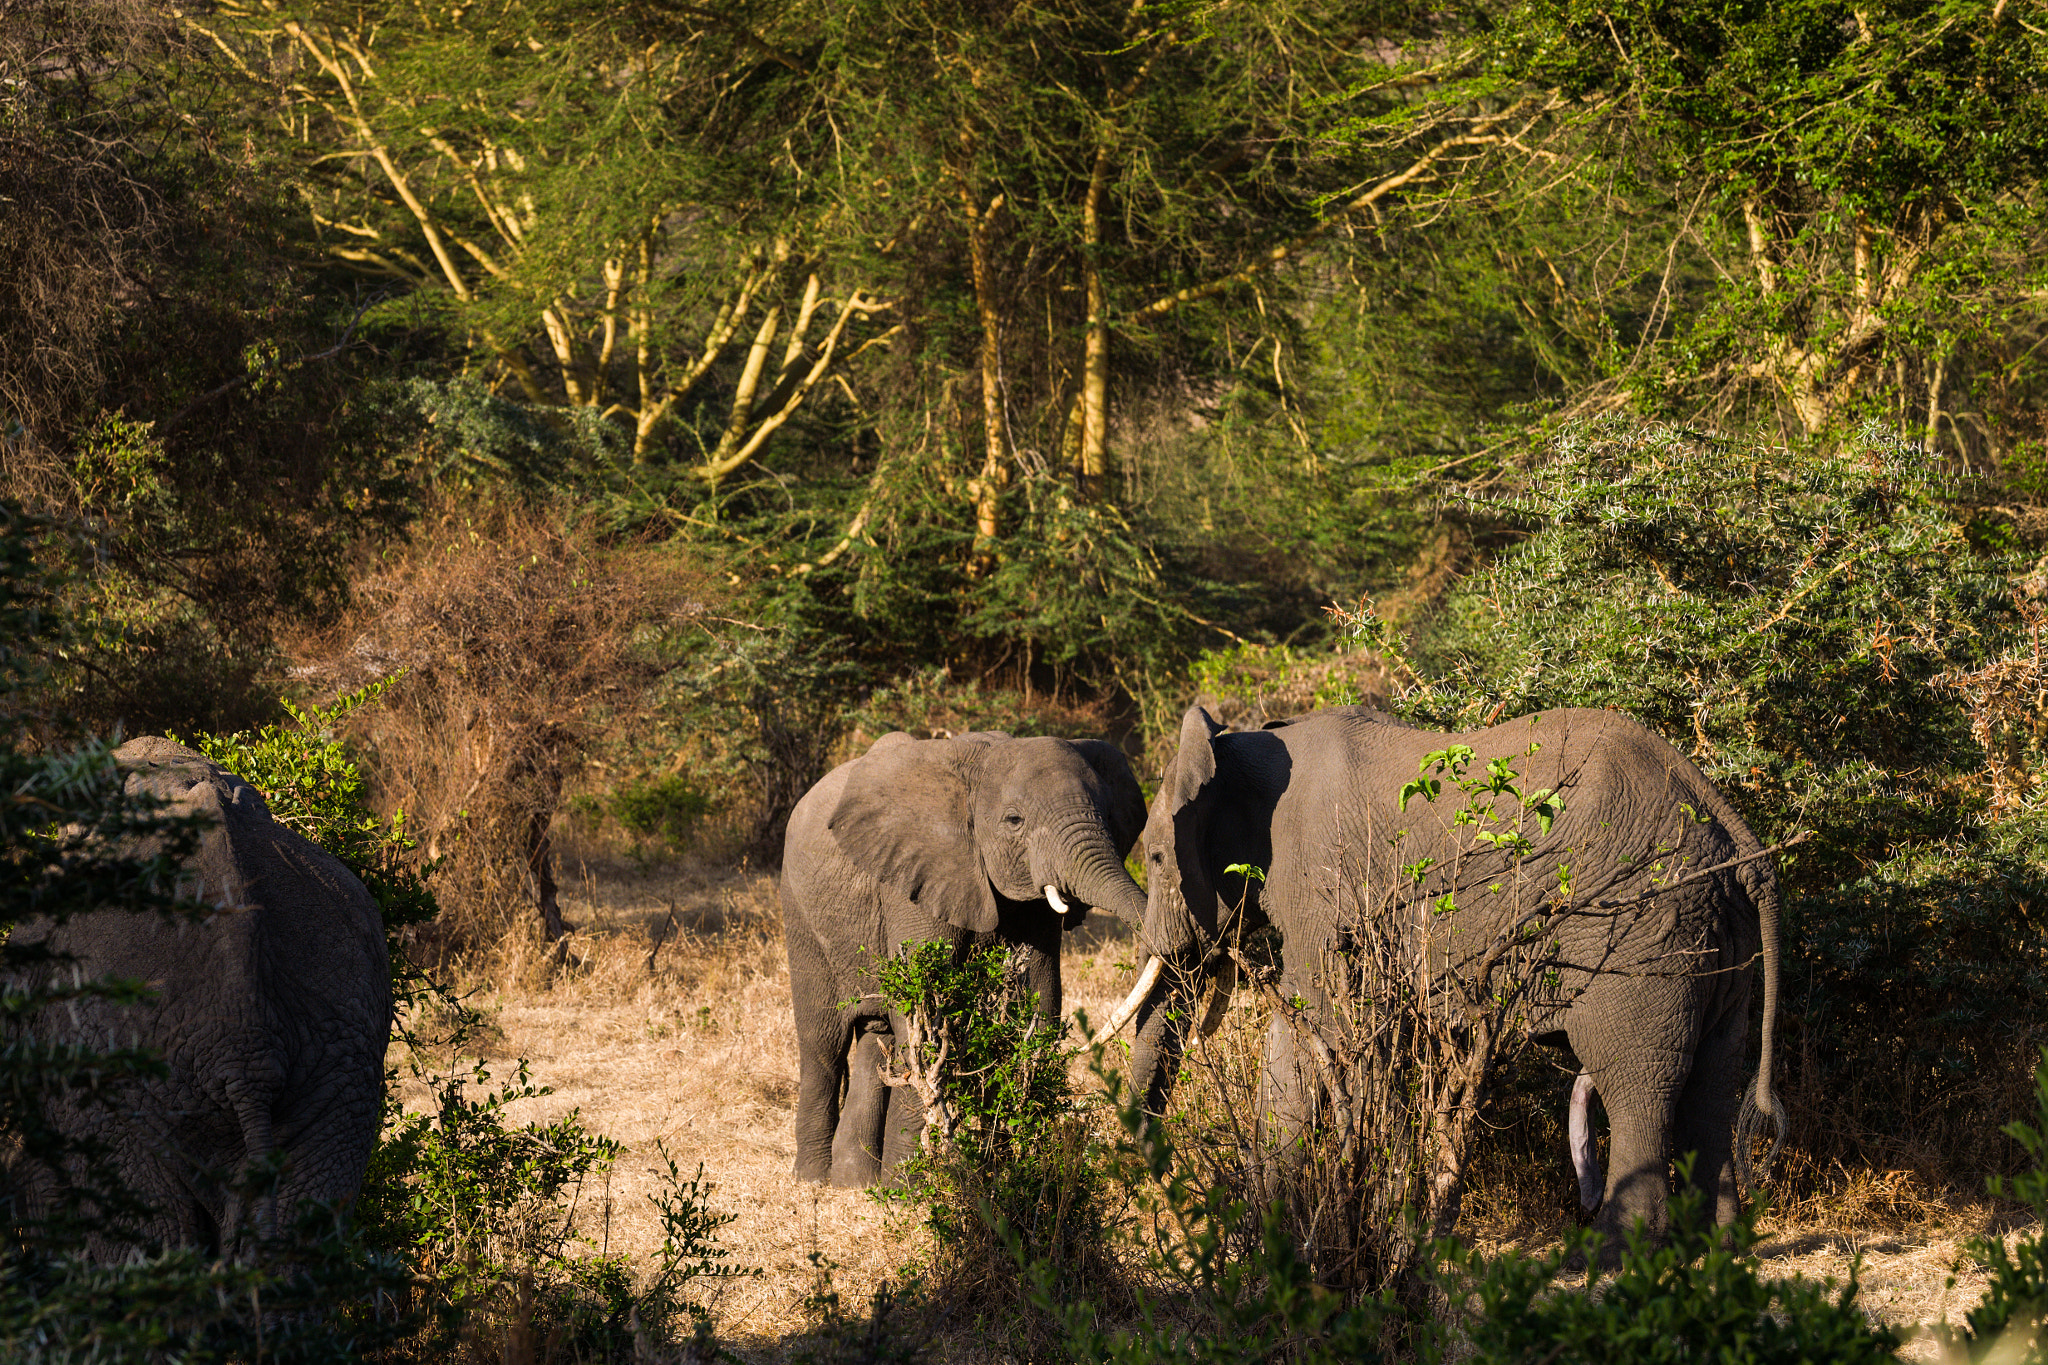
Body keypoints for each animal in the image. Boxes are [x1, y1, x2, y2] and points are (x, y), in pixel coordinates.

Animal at [781, 730, 1148, 1186]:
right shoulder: (914, 879)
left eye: (1108, 815)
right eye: (1014, 821)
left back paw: (855, 1183)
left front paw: (1010, 1171)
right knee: (822, 1044)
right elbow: (924, 1011)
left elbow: (1040, 997)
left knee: (875, 1041)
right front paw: (910, 1189)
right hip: (799, 911)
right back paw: (813, 1180)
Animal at [1109, 704, 1783, 1247]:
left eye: (1157, 857)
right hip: (1714, 935)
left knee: (1635, 1080)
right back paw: (1717, 1253)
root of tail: (1732, 827)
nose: (1175, 1197)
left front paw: (1272, 1229)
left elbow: (1315, 1033)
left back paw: (1614, 1262)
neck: (1239, 745)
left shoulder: (1323, 885)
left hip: (1639, 929)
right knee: (1713, 1082)